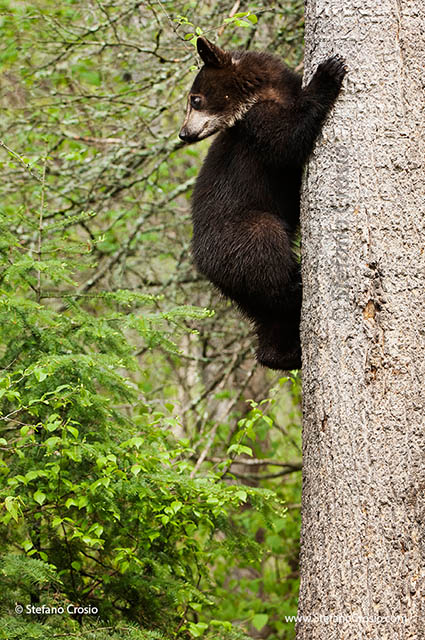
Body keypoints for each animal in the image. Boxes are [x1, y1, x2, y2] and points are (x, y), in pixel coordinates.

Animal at [179, 37, 346, 370]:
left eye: (195, 99)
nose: (184, 133)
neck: (263, 92)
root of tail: (202, 263)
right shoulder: (256, 126)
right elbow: (286, 139)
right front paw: (328, 72)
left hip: (240, 284)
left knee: (269, 314)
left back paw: (283, 354)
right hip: (245, 234)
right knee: (269, 262)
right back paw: (297, 285)